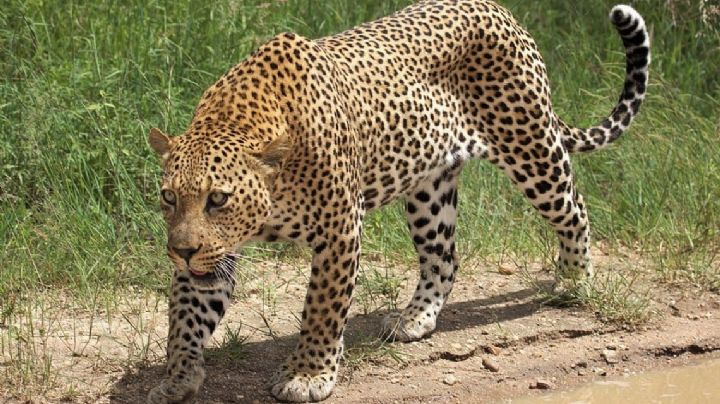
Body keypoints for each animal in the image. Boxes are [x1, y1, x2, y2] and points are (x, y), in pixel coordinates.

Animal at [146, 1, 650, 402]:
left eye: (218, 199)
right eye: (169, 197)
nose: (181, 251)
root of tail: (501, 10)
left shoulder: (339, 228)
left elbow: (322, 308)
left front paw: (309, 374)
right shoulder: (212, 254)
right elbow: (185, 315)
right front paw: (177, 377)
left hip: (531, 148)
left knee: (574, 209)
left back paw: (574, 281)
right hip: (429, 190)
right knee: (443, 258)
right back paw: (415, 318)